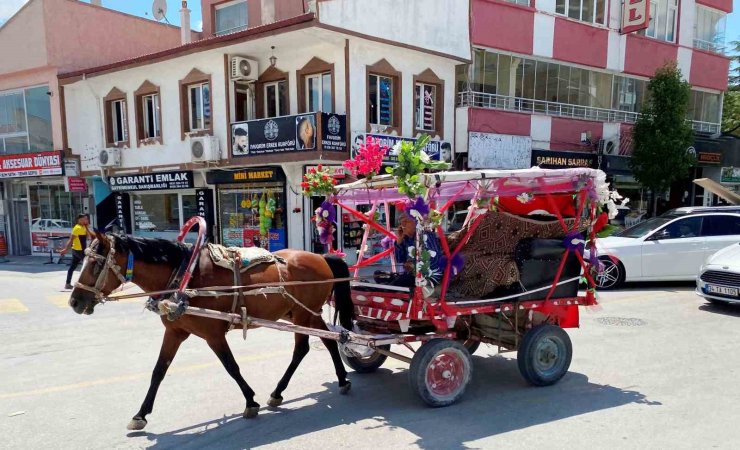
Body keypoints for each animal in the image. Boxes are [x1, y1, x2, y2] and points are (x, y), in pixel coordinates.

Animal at [69, 230, 356, 430]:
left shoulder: (213, 334)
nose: (74, 302)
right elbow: (158, 371)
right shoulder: (175, 332)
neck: (184, 276)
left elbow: (231, 367)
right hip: (306, 312)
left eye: (95, 264)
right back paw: (337, 381)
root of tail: (321, 256)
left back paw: (283, 390)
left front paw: (250, 402)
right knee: (329, 341)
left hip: (303, 313)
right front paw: (140, 414)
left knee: (303, 348)